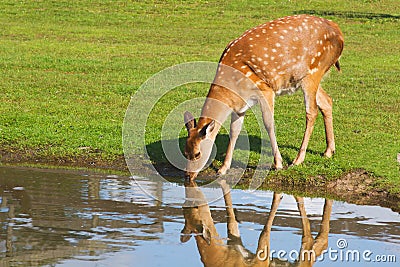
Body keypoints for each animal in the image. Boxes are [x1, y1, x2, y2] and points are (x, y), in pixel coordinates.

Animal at [181, 181, 332, 266]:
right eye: (183, 207)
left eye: (195, 206)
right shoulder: (235, 242)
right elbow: (232, 222)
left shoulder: (260, 260)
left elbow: (264, 234)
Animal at [184, 15, 344, 182]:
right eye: (185, 152)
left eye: (197, 154)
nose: (188, 176)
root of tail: (338, 32)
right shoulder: (240, 105)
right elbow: (234, 130)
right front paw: (223, 168)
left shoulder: (265, 89)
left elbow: (269, 123)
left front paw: (278, 163)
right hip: (308, 78)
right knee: (327, 101)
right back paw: (328, 151)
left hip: (313, 72)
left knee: (311, 111)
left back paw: (298, 160)